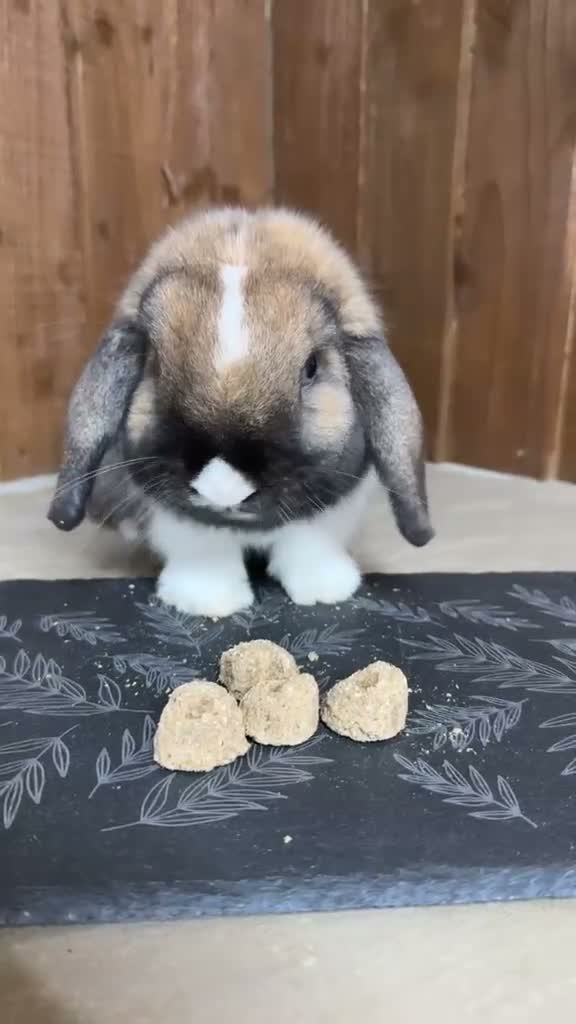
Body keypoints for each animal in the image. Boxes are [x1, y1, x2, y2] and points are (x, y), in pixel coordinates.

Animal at [48, 207, 433, 617]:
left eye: (312, 367)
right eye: (154, 365)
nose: (223, 486)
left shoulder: (326, 518)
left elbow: (308, 546)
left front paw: (324, 591)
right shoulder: (180, 525)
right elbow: (206, 553)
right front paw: (209, 601)